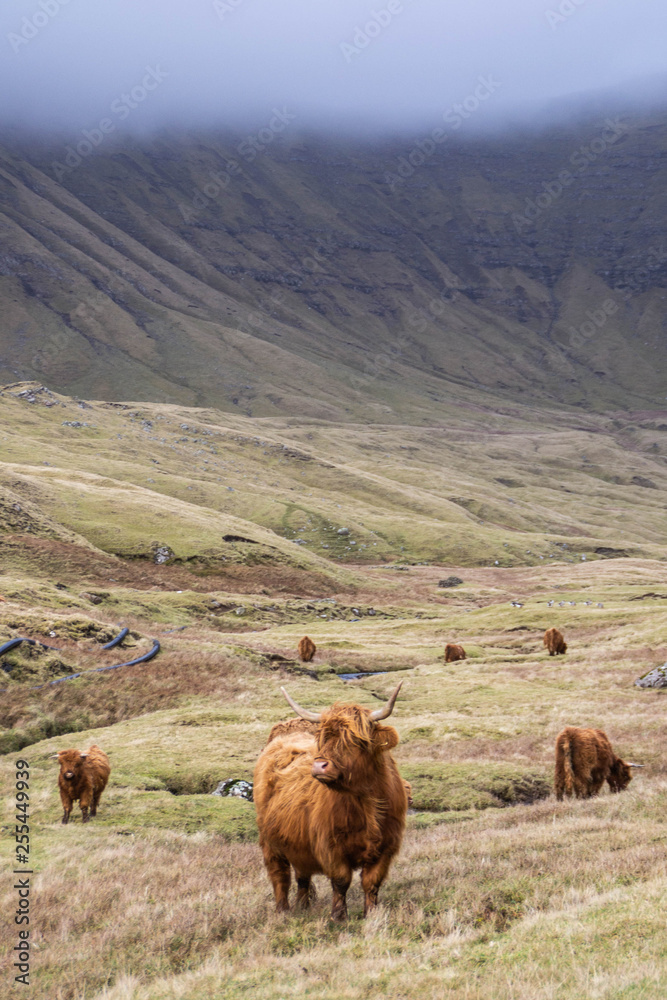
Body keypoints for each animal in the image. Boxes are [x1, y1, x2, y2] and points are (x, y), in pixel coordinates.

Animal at [256, 684, 410, 916]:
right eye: (323, 739)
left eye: (356, 740)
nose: (319, 766)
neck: (366, 802)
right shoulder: (329, 845)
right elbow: (341, 881)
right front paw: (338, 916)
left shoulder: (387, 846)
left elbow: (372, 882)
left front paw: (371, 913)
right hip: (269, 842)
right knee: (280, 876)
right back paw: (283, 911)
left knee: (302, 876)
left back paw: (303, 907)